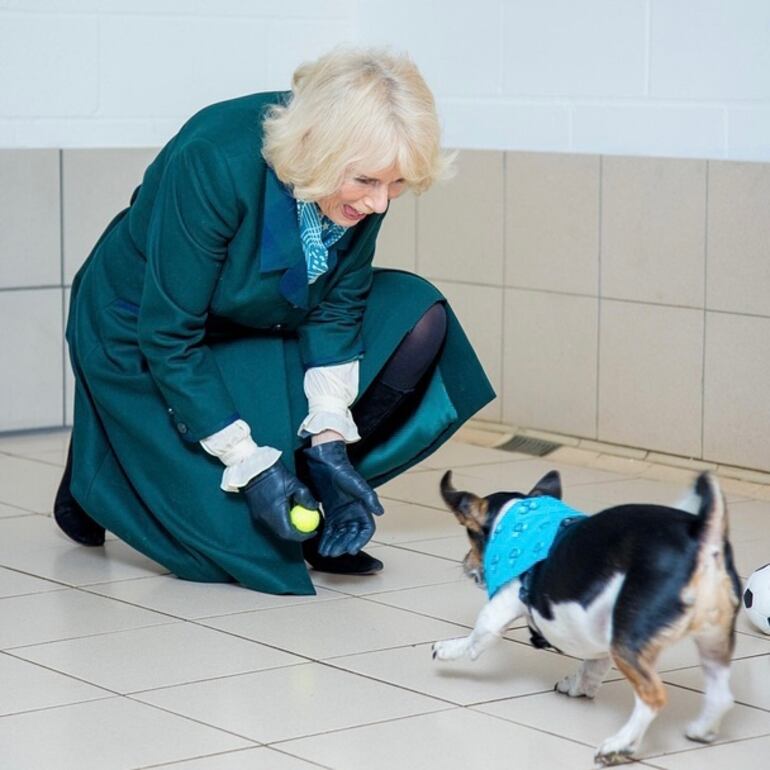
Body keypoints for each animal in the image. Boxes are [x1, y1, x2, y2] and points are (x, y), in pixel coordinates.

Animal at [432, 468, 736, 760]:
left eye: (469, 532)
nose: (465, 563)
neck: (520, 519)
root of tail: (703, 542)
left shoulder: (501, 606)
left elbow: (476, 638)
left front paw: (447, 649)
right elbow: (591, 668)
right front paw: (576, 686)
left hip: (628, 641)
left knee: (654, 696)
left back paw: (620, 745)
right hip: (712, 638)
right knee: (721, 695)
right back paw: (702, 730)